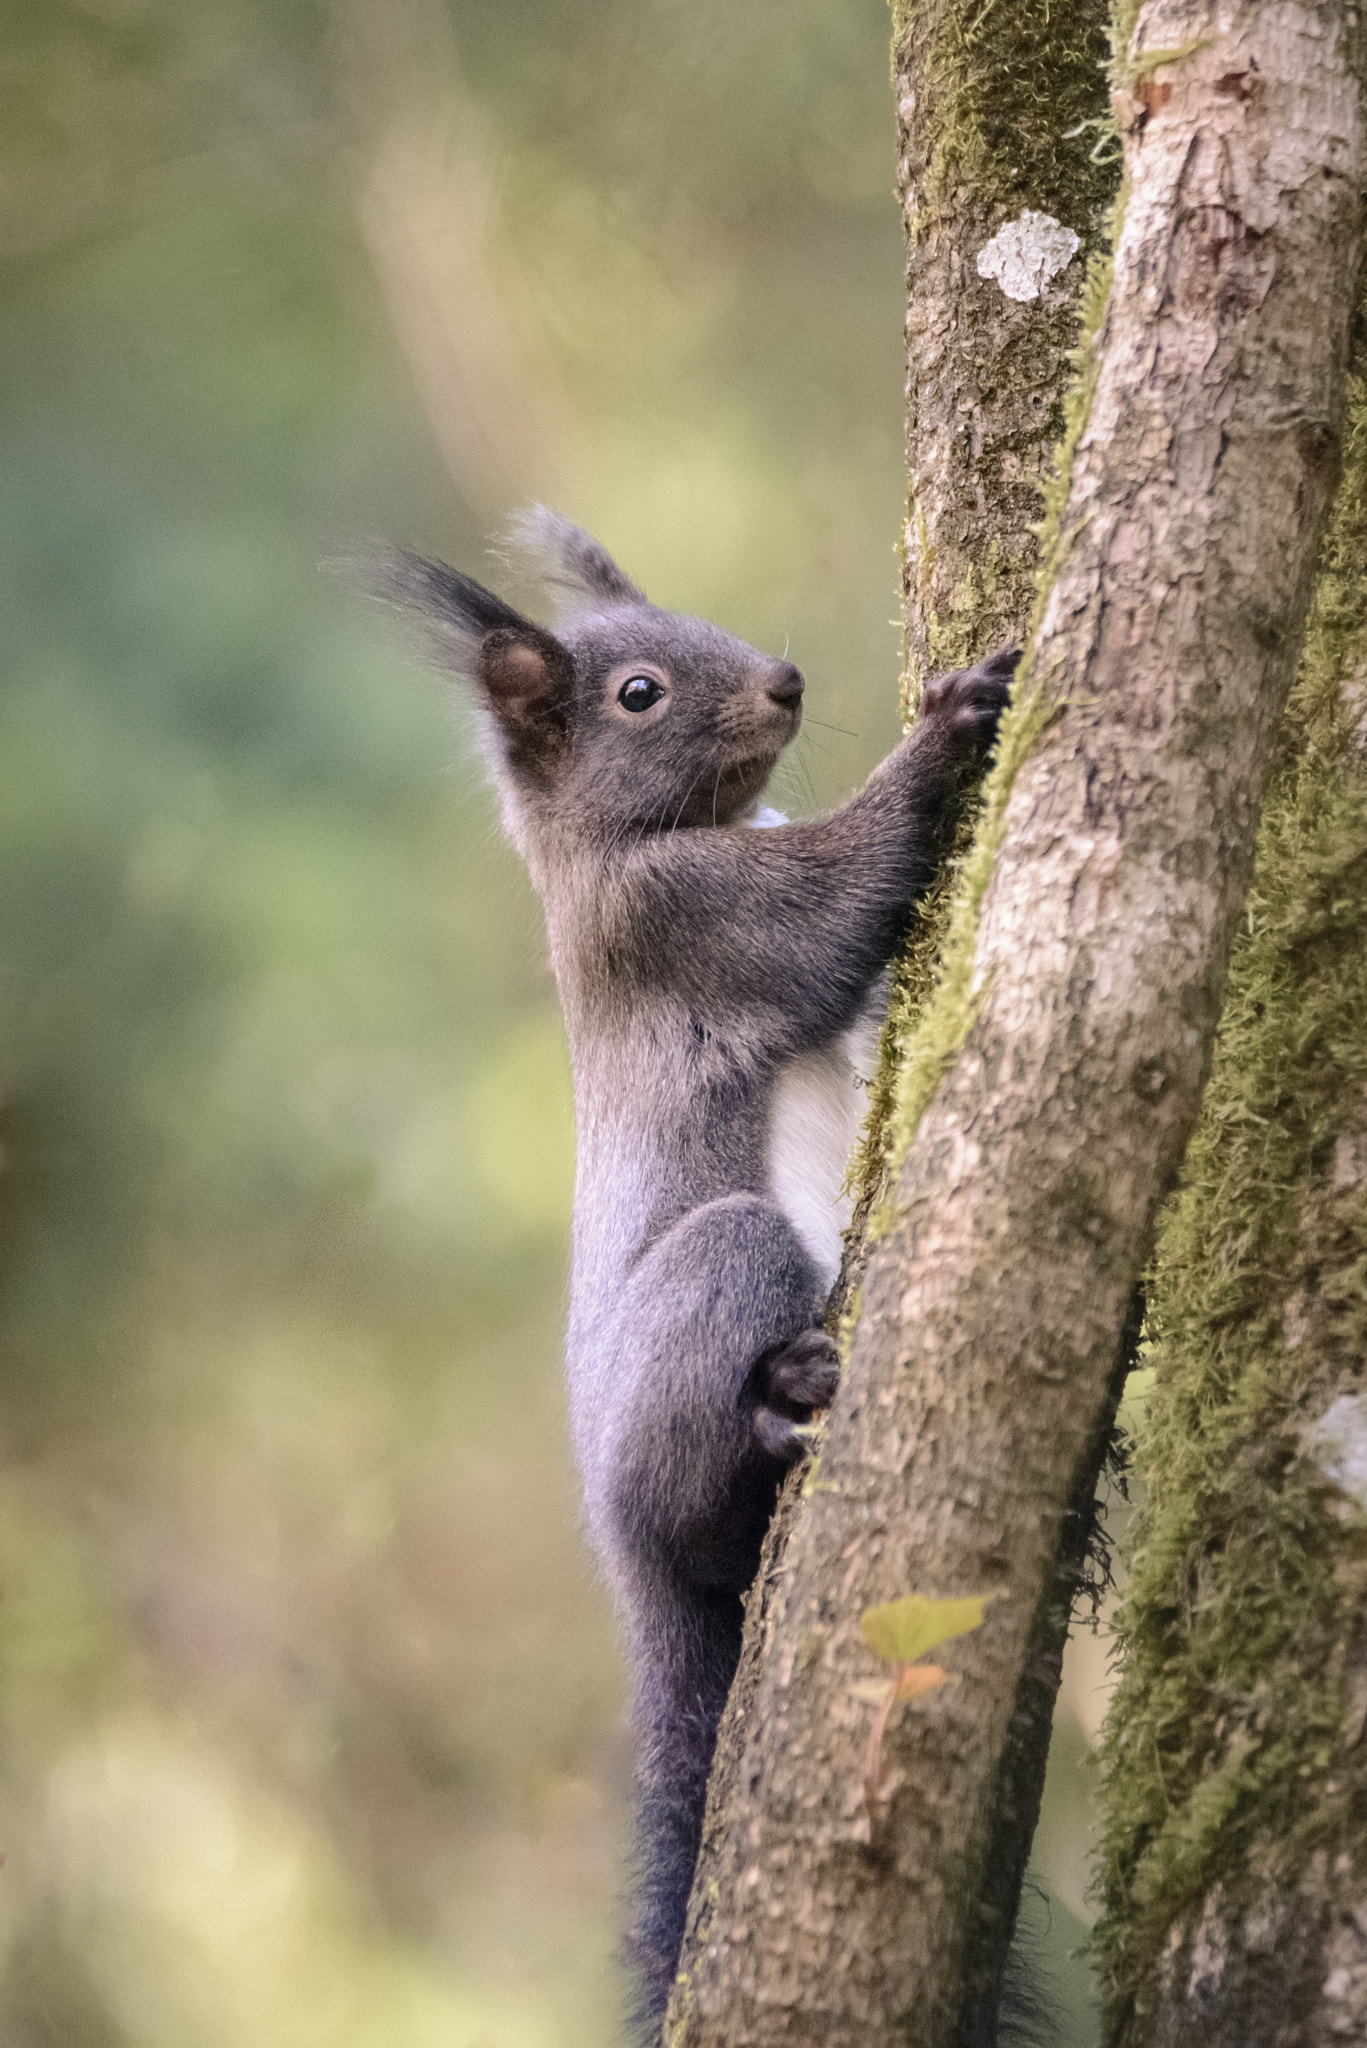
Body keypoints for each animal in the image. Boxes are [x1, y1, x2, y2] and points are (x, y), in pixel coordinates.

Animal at [364, 510, 1017, 2039]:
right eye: (636, 694)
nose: (783, 681)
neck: (628, 847)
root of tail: (623, 1572)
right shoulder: (689, 920)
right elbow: (834, 906)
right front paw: (948, 729)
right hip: (722, 1268)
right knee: (690, 1502)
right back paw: (772, 1418)